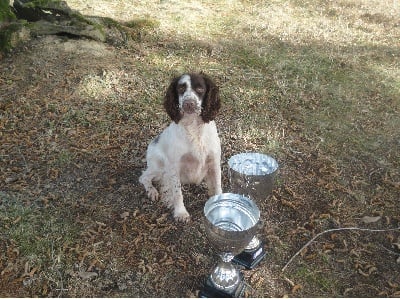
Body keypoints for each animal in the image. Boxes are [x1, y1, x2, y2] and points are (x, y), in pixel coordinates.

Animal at [140, 73, 222, 223]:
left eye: (200, 89)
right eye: (180, 88)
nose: (188, 103)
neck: (194, 127)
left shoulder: (214, 162)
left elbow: (218, 187)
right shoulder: (173, 166)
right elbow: (177, 192)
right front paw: (181, 213)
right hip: (159, 167)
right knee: (144, 177)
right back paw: (152, 191)